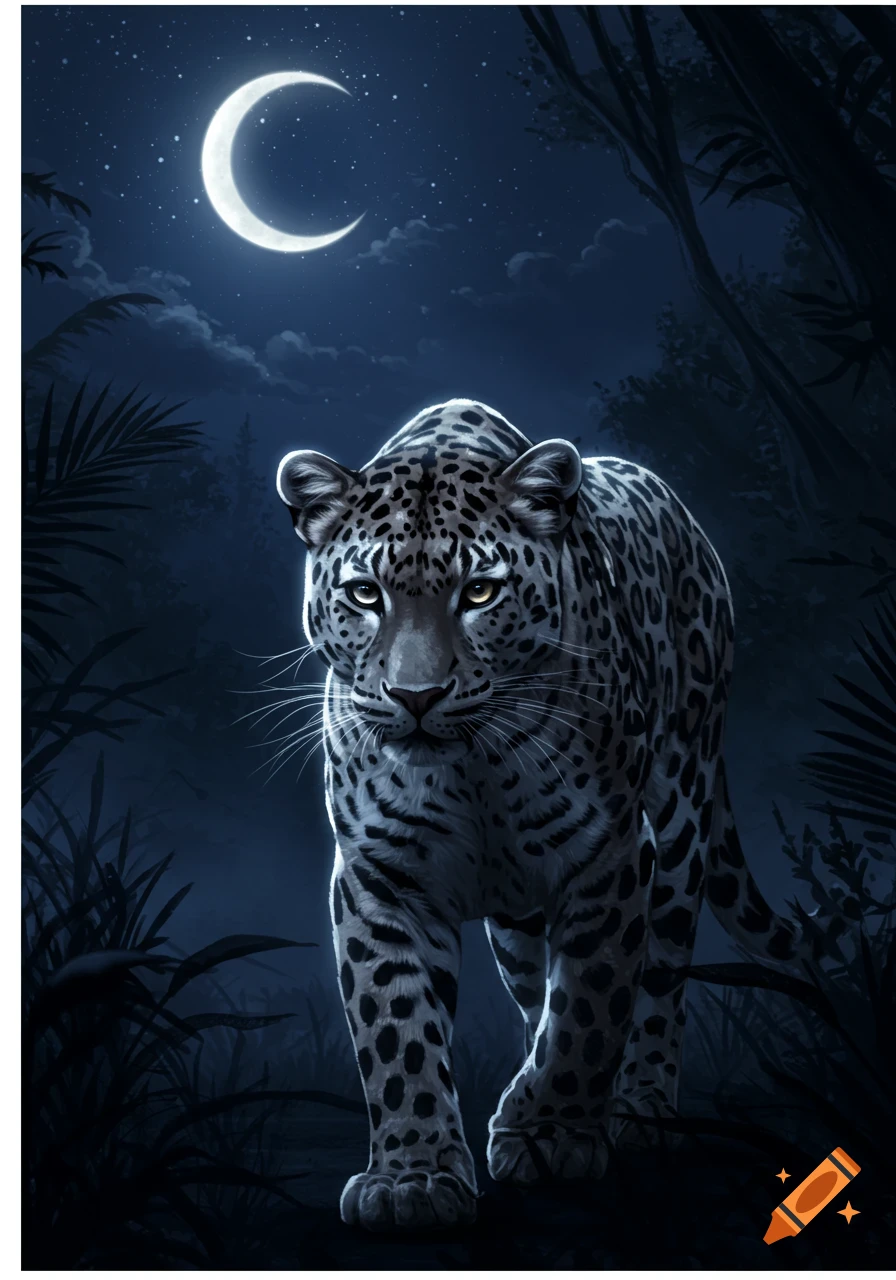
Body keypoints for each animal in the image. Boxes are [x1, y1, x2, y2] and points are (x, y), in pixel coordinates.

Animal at [274, 397, 813, 1234]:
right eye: (365, 595)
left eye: (479, 593)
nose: (416, 697)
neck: (470, 771)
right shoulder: (379, 877)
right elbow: (397, 1029)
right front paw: (412, 1177)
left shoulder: (614, 856)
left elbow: (589, 1008)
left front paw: (551, 1132)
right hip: (521, 921)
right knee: (536, 986)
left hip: (682, 813)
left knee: (658, 980)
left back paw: (641, 1108)